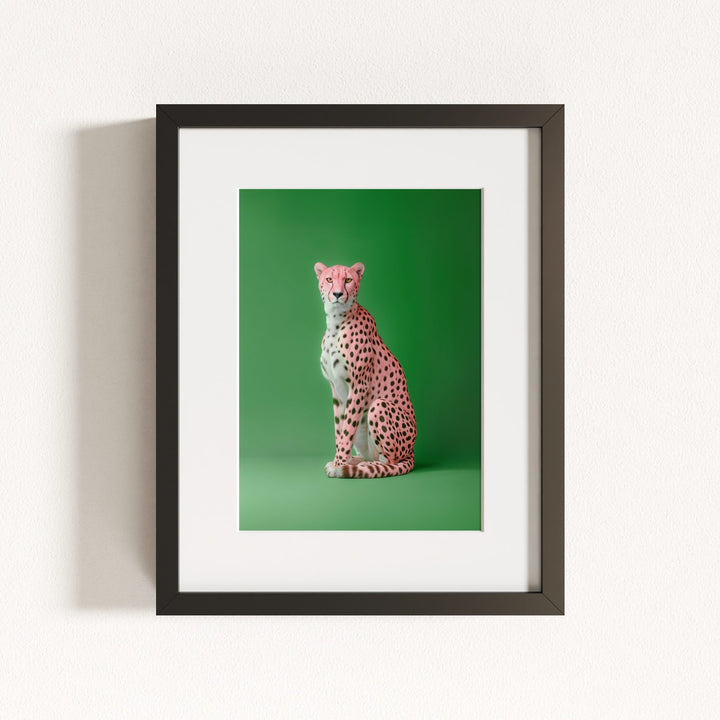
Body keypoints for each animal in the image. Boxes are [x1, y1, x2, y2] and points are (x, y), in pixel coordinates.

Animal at [314, 261, 417, 478]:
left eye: (348, 280)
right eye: (329, 279)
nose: (337, 294)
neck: (336, 322)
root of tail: (412, 451)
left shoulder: (359, 385)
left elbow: (347, 430)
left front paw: (339, 464)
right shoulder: (336, 388)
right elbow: (339, 428)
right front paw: (339, 460)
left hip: (379, 406)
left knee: (390, 461)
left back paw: (362, 467)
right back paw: (356, 461)